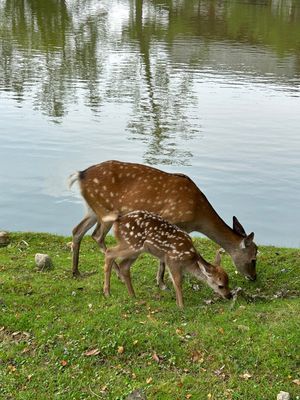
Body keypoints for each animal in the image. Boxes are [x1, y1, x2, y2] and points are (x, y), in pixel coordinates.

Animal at [68, 159, 258, 282]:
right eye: (254, 258)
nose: (254, 277)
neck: (197, 216)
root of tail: (80, 175)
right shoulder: (170, 219)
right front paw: (162, 282)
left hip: (92, 209)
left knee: (77, 230)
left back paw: (76, 272)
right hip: (106, 210)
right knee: (97, 236)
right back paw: (119, 274)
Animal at [102, 211, 231, 308]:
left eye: (228, 282)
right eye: (220, 285)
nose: (229, 296)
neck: (189, 261)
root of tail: (118, 220)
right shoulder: (172, 260)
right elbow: (178, 282)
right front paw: (181, 306)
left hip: (135, 249)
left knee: (124, 265)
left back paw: (132, 295)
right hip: (132, 244)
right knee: (110, 253)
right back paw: (107, 292)